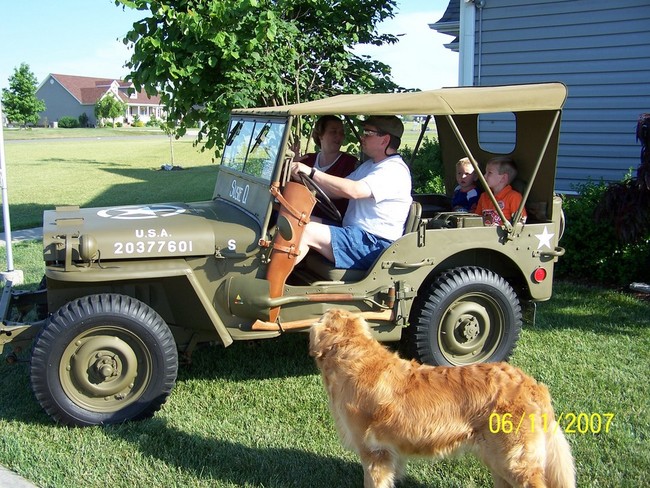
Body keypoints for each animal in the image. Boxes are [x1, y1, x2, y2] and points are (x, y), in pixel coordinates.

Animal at [308, 310, 572, 486]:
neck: (354, 356)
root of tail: (532, 384)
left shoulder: (375, 454)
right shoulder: (390, 455)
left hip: (514, 462)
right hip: (498, 462)